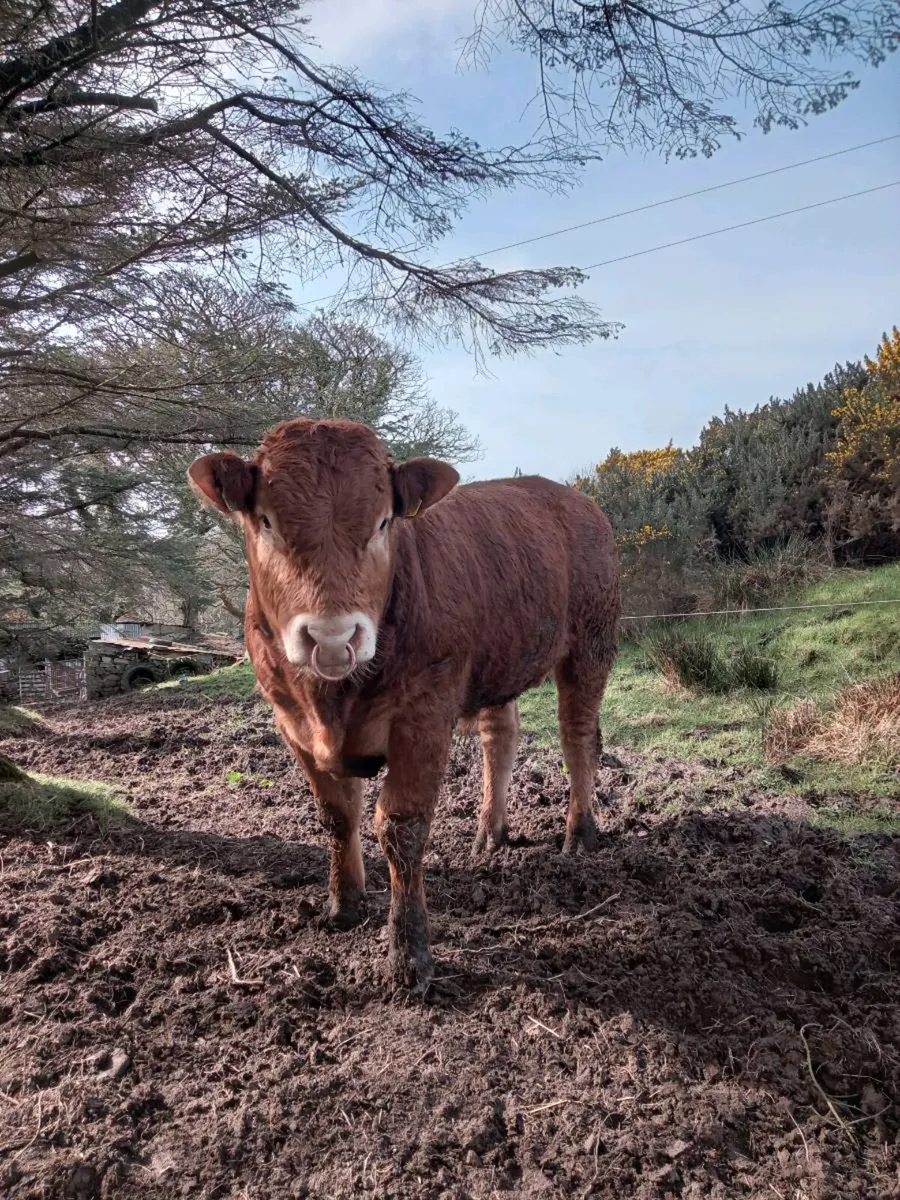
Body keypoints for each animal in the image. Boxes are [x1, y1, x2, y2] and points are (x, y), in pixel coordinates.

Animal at [188, 418, 619, 993]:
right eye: (266, 521)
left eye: (382, 522)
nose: (332, 636)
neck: (331, 702)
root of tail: (575, 498)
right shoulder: (291, 722)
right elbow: (335, 814)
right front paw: (343, 906)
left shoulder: (424, 715)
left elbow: (401, 827)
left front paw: (407, 954)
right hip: (496, 664)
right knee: (500, 738)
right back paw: (490, 833)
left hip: (590, 644)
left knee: (577, 737)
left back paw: (579, 833)